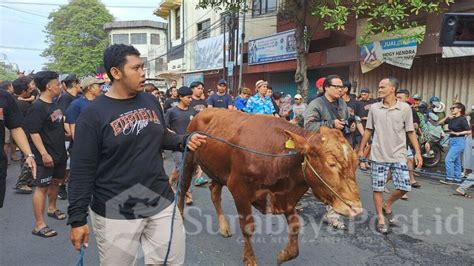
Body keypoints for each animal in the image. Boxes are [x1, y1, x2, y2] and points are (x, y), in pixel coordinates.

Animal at [179, 108, 362, 264]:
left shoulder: (284, 196)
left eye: (356, 162)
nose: (357, 209)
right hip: (188, 158)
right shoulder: (239, 190)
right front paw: (250, 260)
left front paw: (283, 255)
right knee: (182, 187)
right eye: (331, 164)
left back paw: (224, 227)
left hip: (219, 170)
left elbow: (295, 227)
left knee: (214, 192)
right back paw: (180, 217)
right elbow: (248, 227)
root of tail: (203, 111)